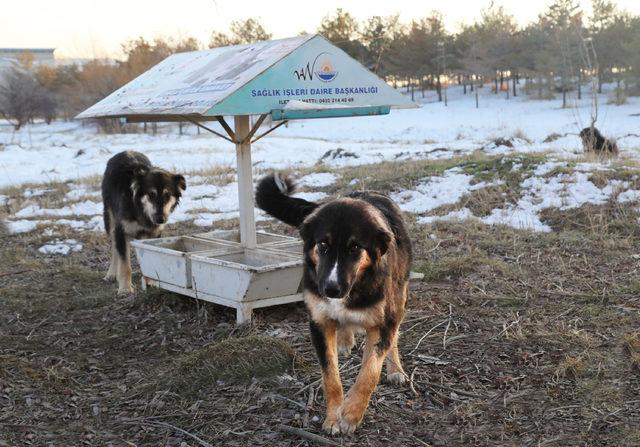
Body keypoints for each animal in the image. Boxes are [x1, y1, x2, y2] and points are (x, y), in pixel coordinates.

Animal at [100, 152, 185, 296]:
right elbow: (124, 265)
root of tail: (125, 151)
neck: (139, 209)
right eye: (151, 194)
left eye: (167, 195)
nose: (160, 219)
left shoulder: (153, 234)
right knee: (114, 248)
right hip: (109, 219)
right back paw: (111, 274)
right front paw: (125, 289)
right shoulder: (121, 230)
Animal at [255, 173, 410, 436]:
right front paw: (333, 417)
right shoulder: (319, 322)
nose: (330, 289)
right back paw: (345, 340)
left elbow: (369, 373)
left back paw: (395, 370)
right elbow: (331, 376)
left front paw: (351, 415)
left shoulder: (382, 322)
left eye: (355, 247)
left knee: (394, 336)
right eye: (323, 245)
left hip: (400, 297)